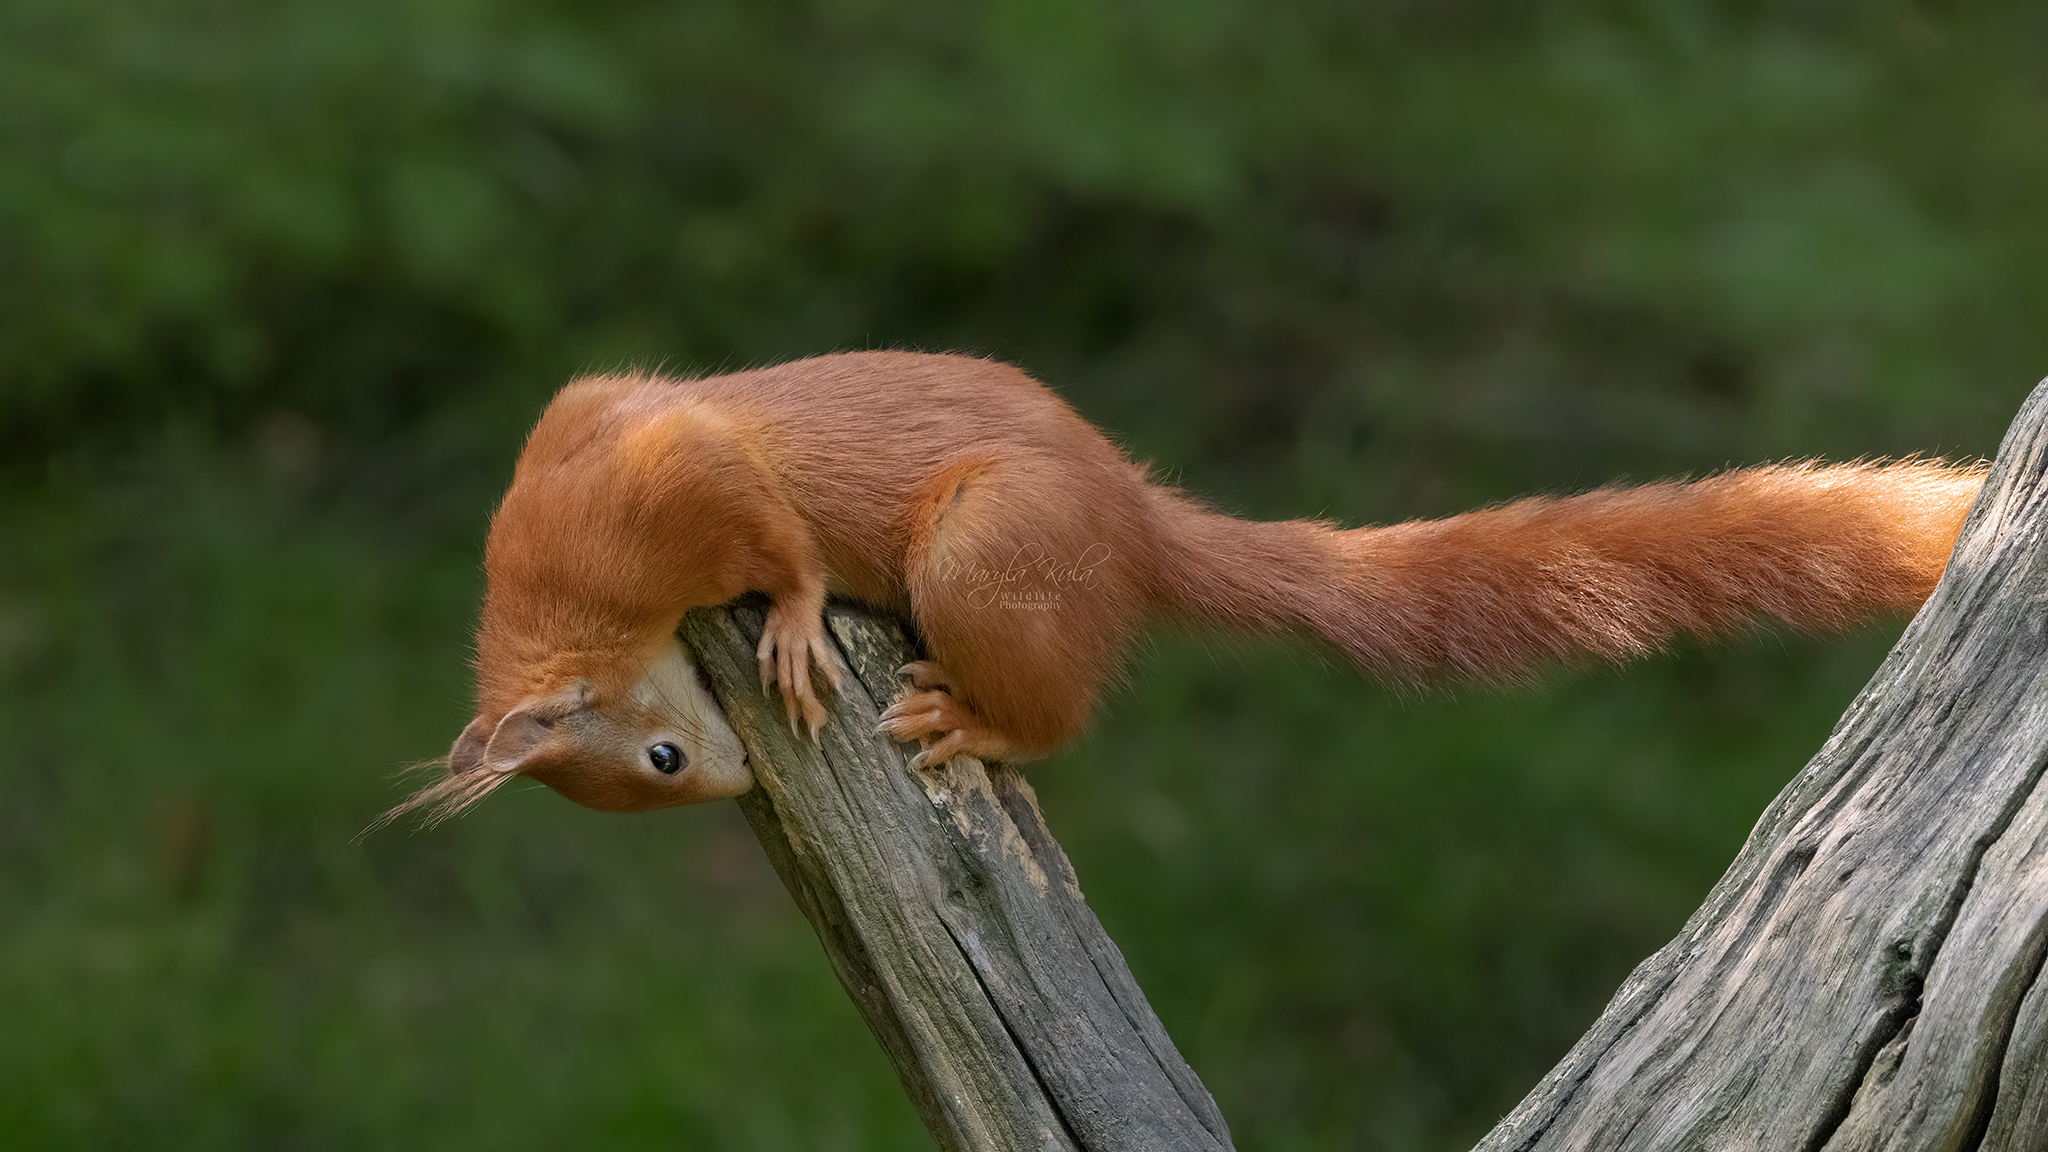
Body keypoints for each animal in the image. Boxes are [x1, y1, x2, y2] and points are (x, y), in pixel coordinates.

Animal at [391, 344, 1990, 819]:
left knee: (1054, 710)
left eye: (661, 757)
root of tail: (1132, 518)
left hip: (984, 554)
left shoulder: (668, 470)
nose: (725, 780)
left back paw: (972, 721)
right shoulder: (583, 421)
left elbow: (772, 536)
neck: (556, 581)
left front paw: (784, 628)